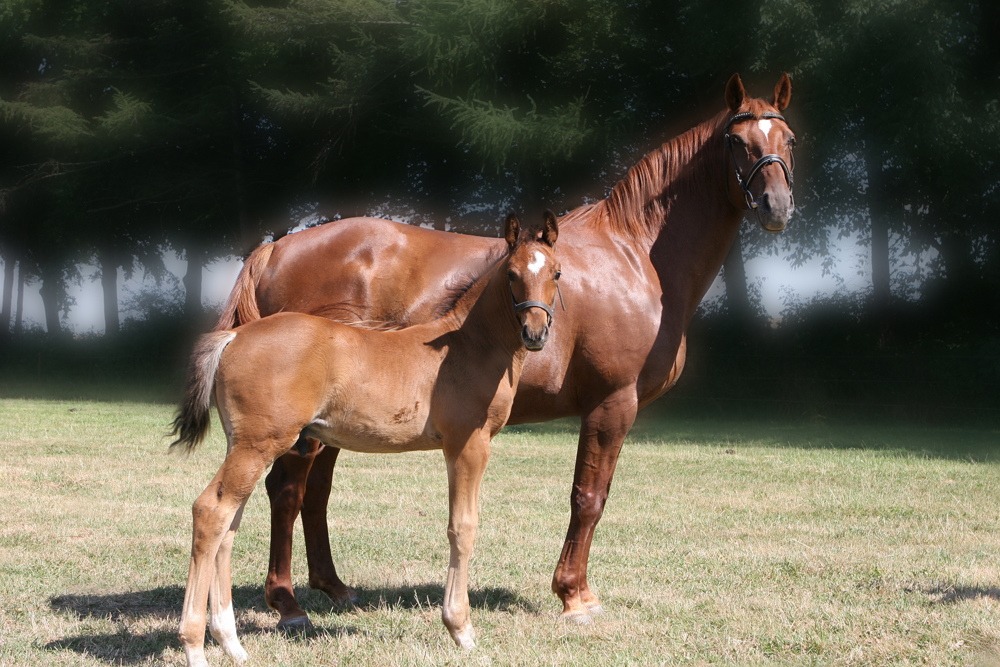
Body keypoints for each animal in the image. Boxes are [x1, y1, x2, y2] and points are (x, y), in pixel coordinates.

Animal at [173, 211, 564, 664]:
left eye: (556, 272)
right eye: (512, 274)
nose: (535, 333)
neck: (469, 345)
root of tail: (234, 336)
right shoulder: (468, 444)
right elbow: (463, 527)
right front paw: (460, 628)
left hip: (246, 446)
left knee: (229, 523)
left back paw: (231, 642)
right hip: (259, 445)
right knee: (210, 512)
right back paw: (195, 645)